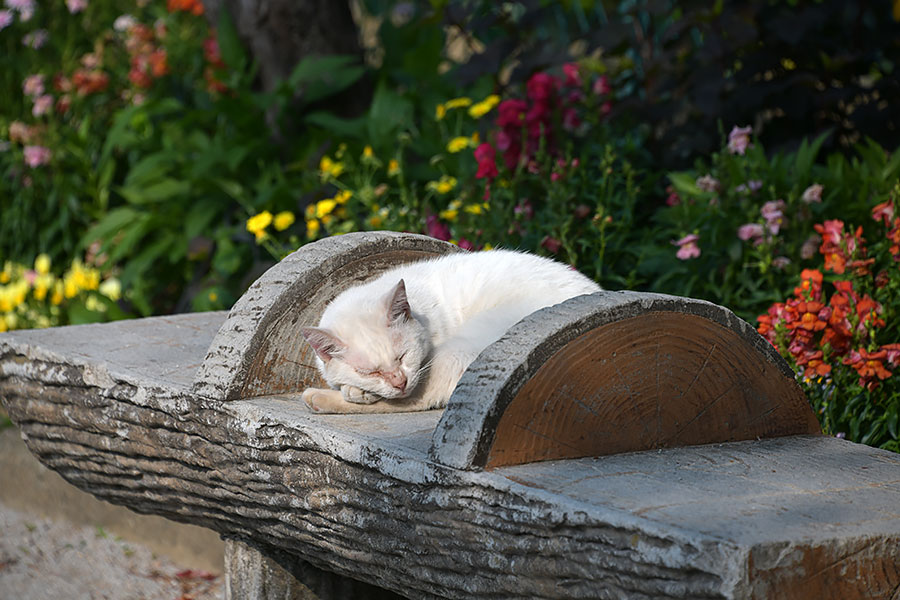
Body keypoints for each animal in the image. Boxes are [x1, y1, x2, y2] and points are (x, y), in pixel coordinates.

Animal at [298, 248, 600, 412]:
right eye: (369, 371)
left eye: (402, 356)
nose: (399, 382)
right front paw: (358, 389)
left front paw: (356, 392)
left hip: (459, 349)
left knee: (421, 399)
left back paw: (319, 397)